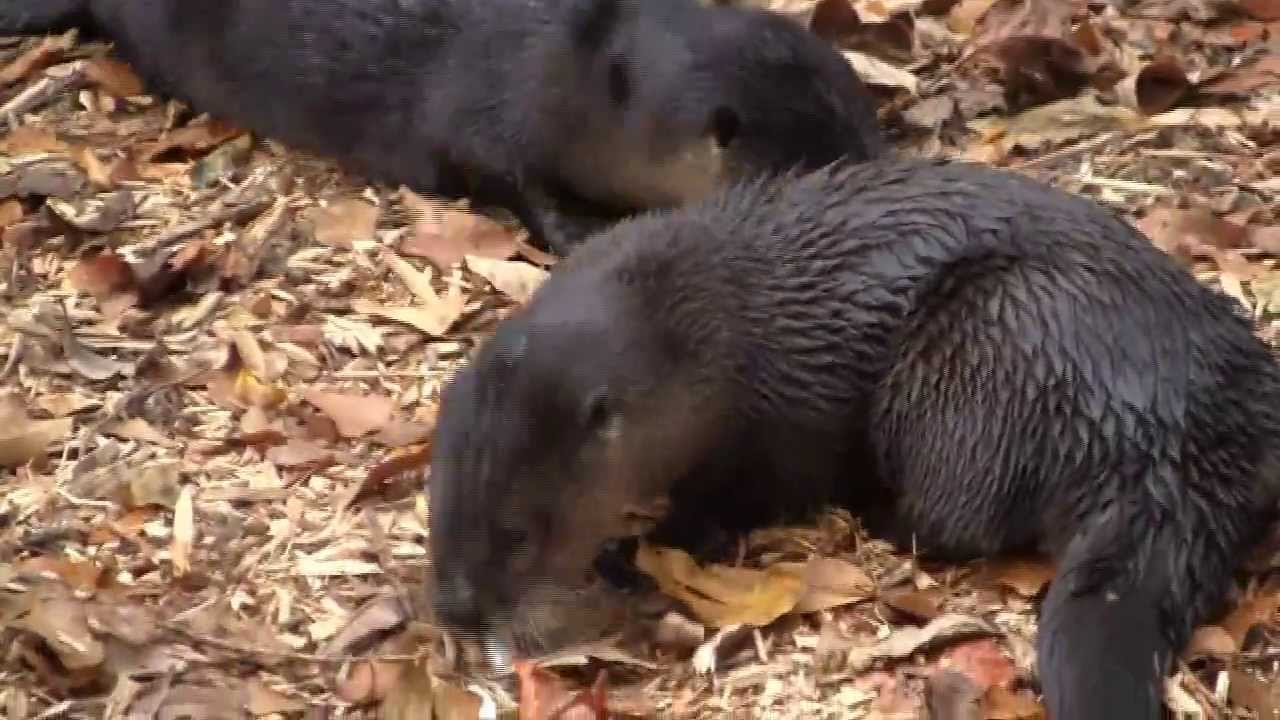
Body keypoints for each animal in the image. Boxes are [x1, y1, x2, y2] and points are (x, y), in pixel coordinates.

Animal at [427, 157, 1280, 719]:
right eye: (436, 513)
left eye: (517, 536)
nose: (456, 610)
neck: (717, 333)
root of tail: (1165, 432)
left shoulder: (782, 413)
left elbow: (751, 496)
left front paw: (634, 551)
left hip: (984, 345)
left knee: (960, 514)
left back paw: (879, 513)